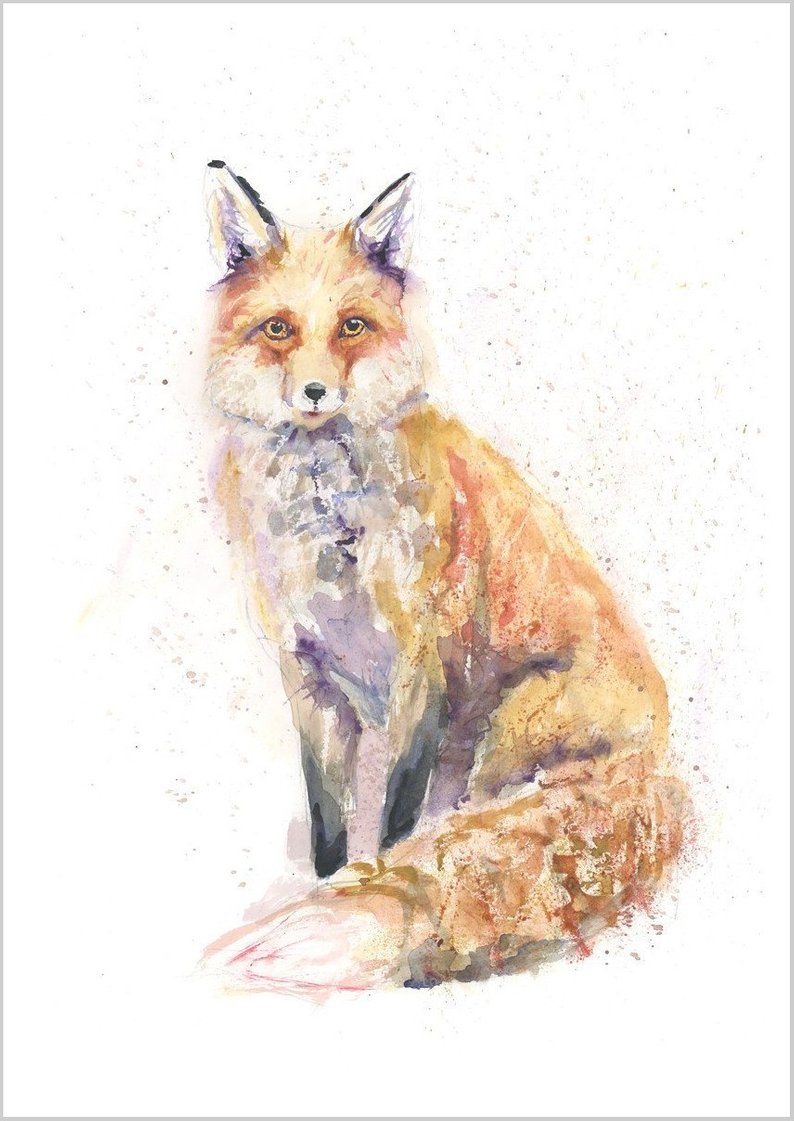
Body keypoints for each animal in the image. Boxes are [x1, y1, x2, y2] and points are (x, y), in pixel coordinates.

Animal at [200, 162, 691, 994]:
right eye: (278, 329)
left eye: (352, 326)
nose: (314, 394)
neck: (330, 533)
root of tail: (663, 766)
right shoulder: (308, 673)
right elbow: (329, 820)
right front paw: (328, 879)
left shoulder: (417, 678)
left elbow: (393, 829)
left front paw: (359, 883)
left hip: (502, 731)